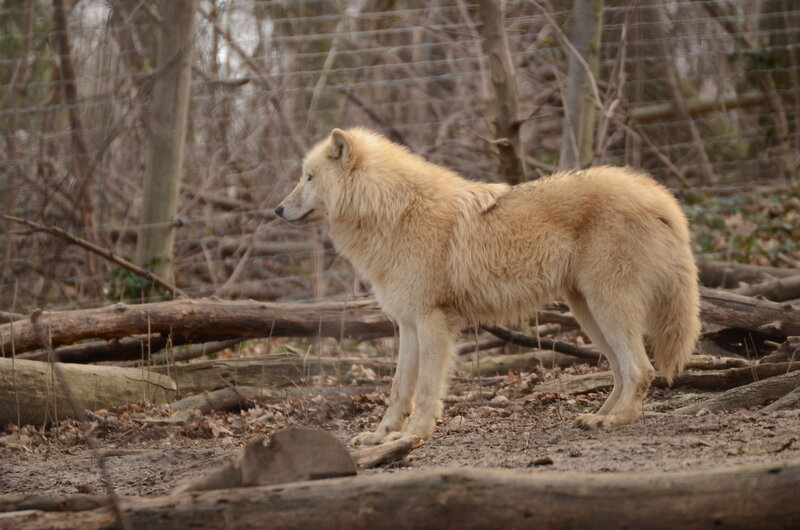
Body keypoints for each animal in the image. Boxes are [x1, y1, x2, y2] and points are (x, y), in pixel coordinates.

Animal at [275, 127, 700, 445]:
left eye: (309, 177)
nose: (277, 209)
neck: (394, 210)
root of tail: (659, 195)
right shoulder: (408, 325)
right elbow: (399, 389)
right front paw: (381, 437)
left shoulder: (432, 322)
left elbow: (426, 390)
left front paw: (413, 436)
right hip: (588, 313)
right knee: (622, 371)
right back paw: (596, 417)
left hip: (607, 307)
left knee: (641, 369)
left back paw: (614, 421)